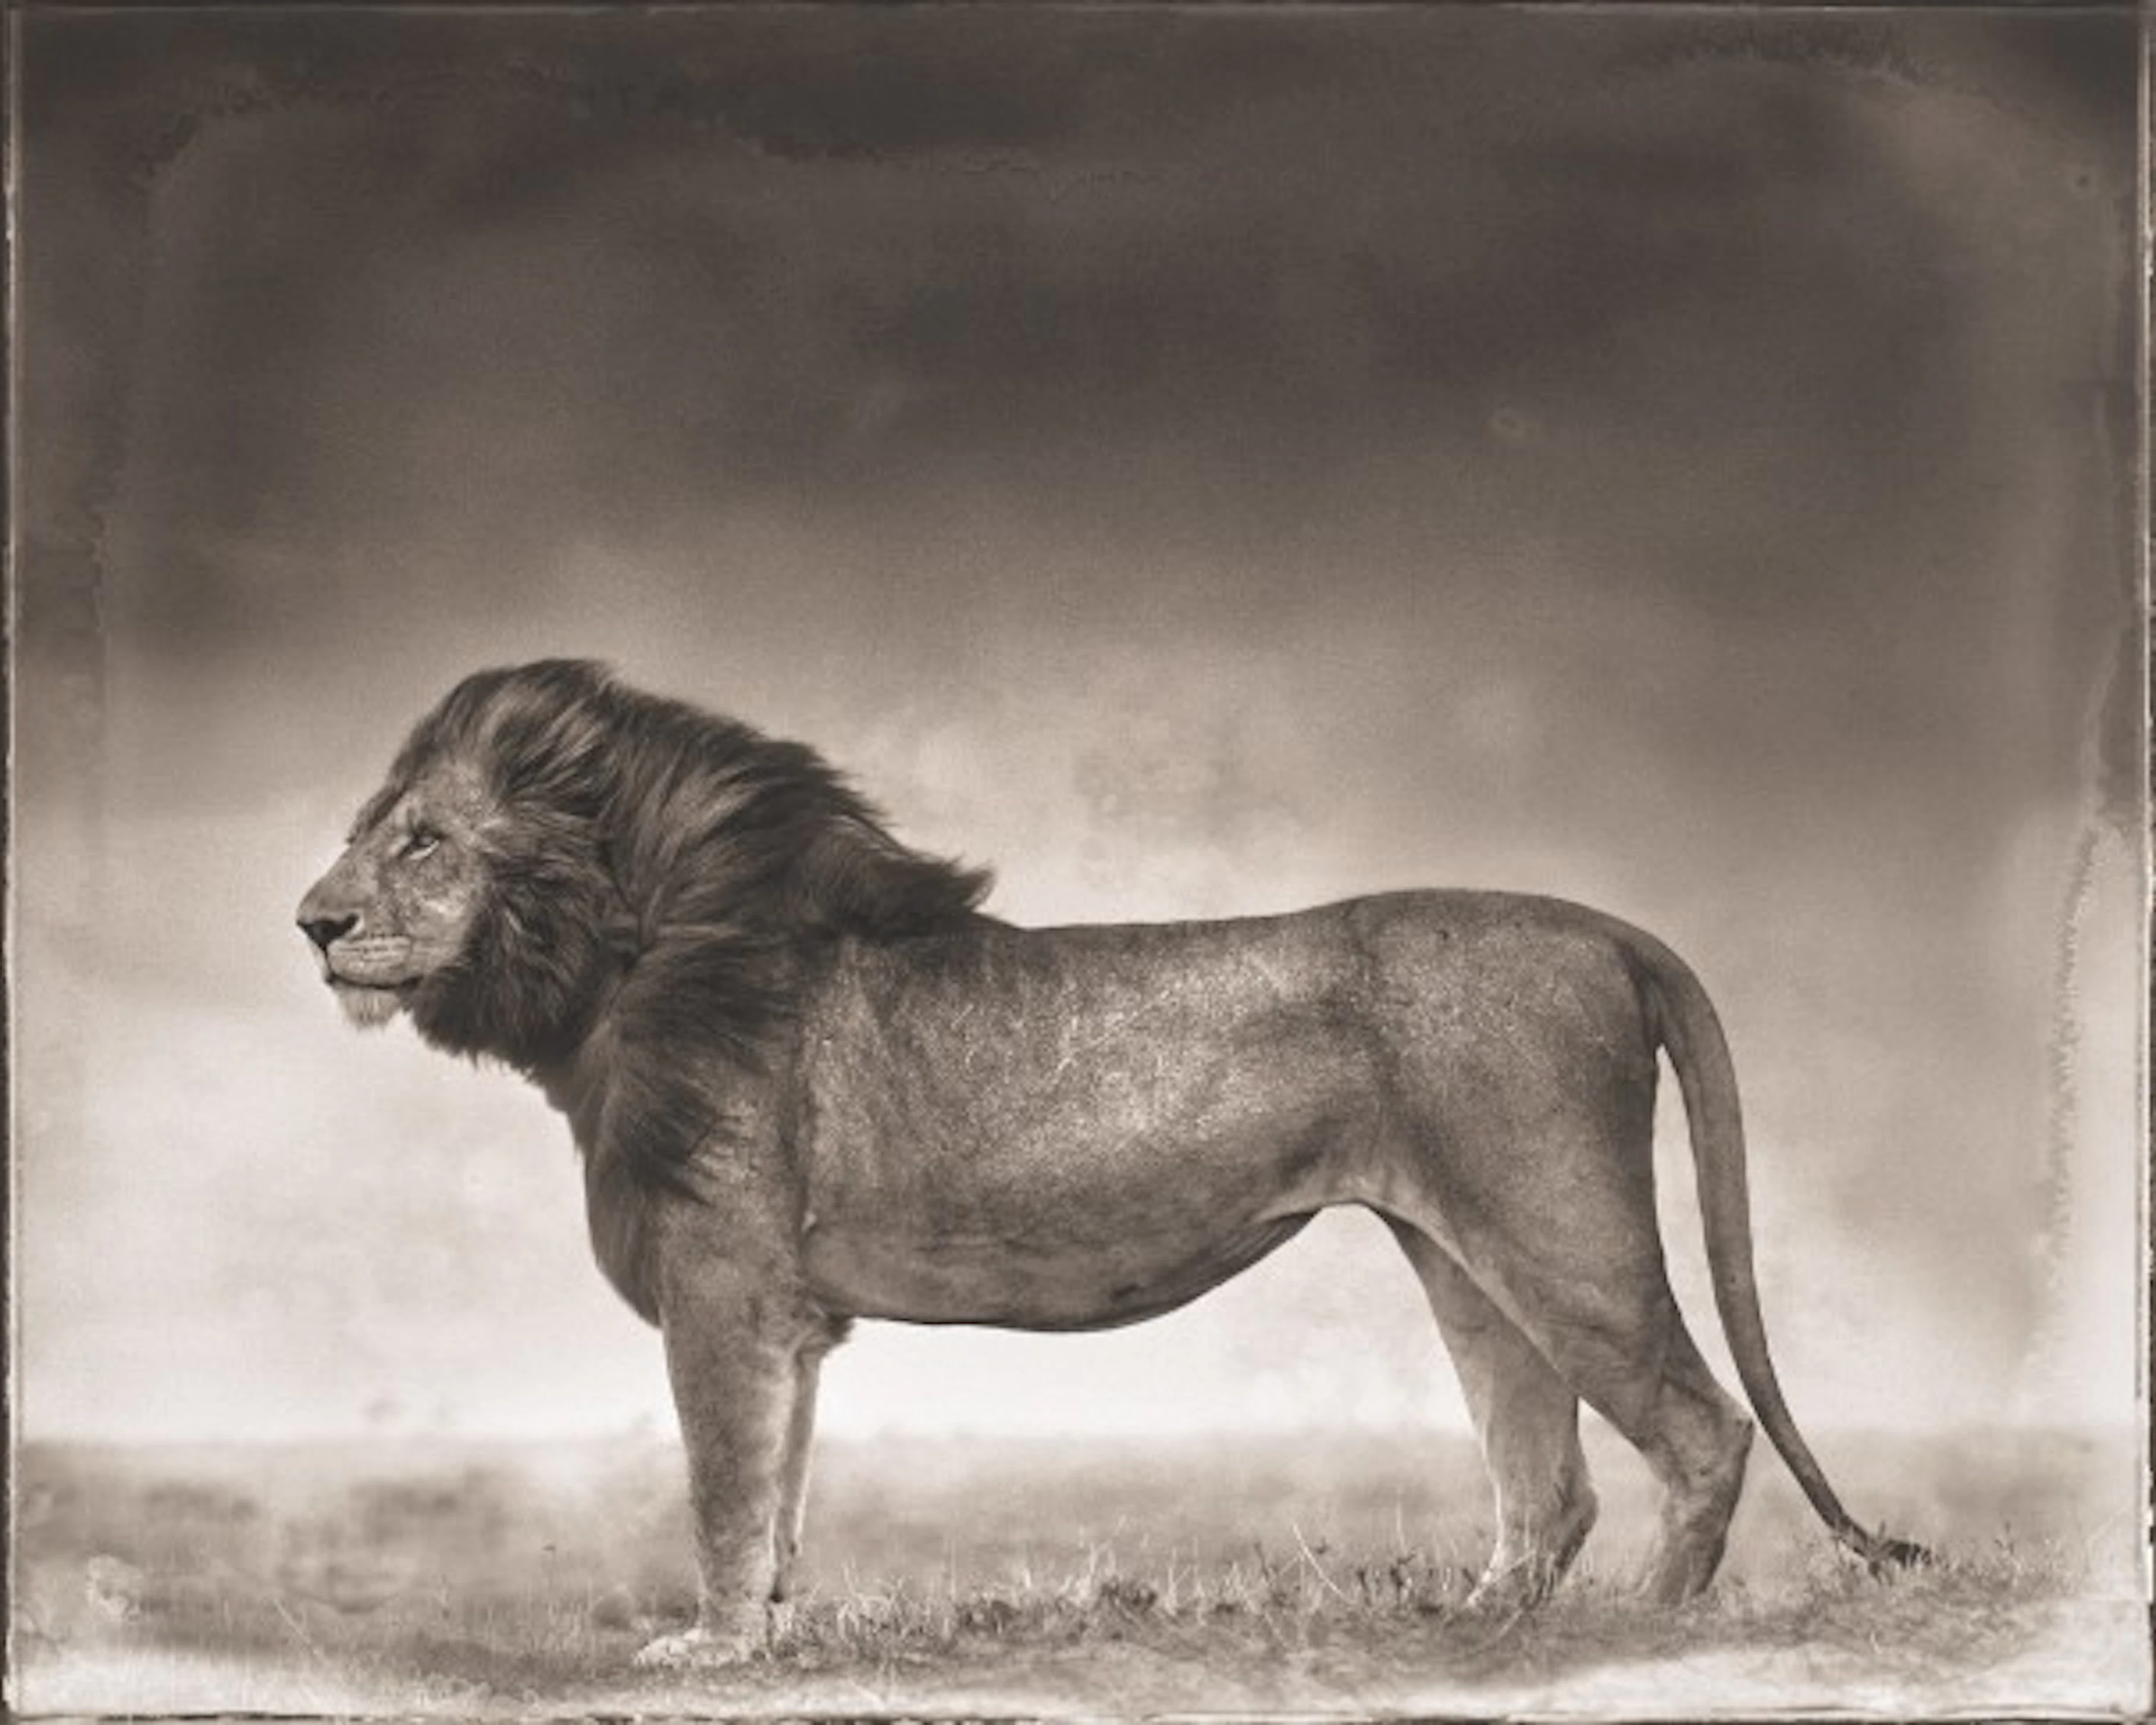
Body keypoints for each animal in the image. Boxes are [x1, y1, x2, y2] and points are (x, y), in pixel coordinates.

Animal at [297, 658, 1924, 1666]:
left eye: (426, 840)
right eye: (370, 832)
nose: (312, 920)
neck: (617, 962)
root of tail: (1611, 929)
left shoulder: (724, 1293)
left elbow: (721, 1484)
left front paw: (708, 1649)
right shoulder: (788, 1321)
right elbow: (779, 1495)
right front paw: (770, 1635)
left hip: (1556, 1221)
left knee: (1700, 1434)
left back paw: (1638, 1634)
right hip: (1464, 1254)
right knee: (1549, 1477)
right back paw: (1478, 1632)